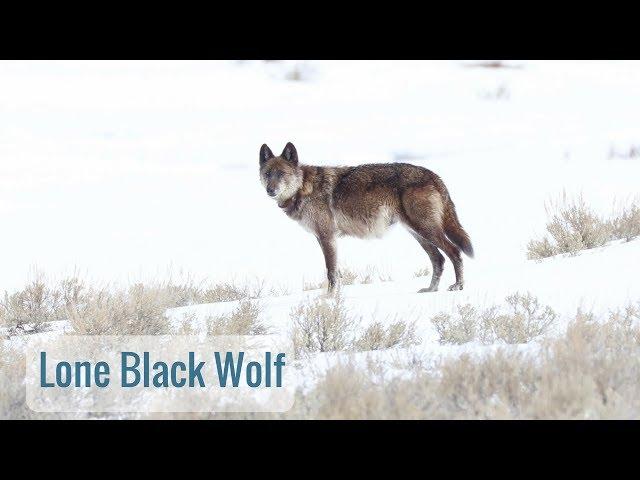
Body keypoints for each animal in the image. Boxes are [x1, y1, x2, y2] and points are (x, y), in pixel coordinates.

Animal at [258, 141, 472, 294]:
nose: (270, 190)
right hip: (418, 233)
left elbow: (331, 272)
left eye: (281, 173)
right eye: (267, 174)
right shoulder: (323, 238)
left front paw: (329, 299)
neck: (303, 188)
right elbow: (336, 272)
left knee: (454, 252)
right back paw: (430, 290)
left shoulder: (327, 237)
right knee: (438, 259)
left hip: (426, 230)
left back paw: (457, 287)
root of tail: (434, 175)